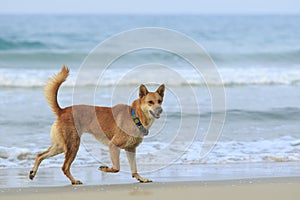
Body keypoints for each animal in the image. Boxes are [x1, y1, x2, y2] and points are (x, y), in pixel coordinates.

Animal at [28, 65, 164, 184]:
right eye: (150, 102)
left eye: (160, 101)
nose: (160, 110)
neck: (135, 116)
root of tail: (62, 111)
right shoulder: (113, 145)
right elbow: (117, 168)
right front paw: (104, 169)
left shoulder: (131, 149)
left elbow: (134, 168)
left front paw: (141, 178)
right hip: (73, 145)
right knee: (64, 167)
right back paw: (74, 181)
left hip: (61, 145)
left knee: (40, 155)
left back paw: (33, 172)